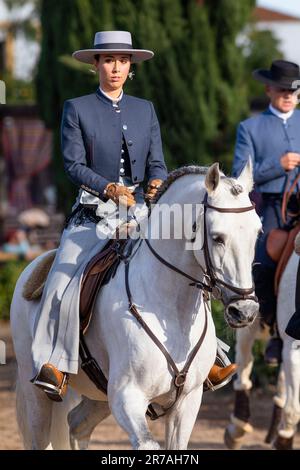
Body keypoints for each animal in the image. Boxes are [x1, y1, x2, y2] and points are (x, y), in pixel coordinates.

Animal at [11, 162, 260, 452]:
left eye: (257, 232)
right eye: (218, 237)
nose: (245, 311)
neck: (171, 308)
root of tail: (35, 265)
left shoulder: (187, 402)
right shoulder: (126, 397)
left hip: (98, 396)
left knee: (77, 424)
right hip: (36, 393)